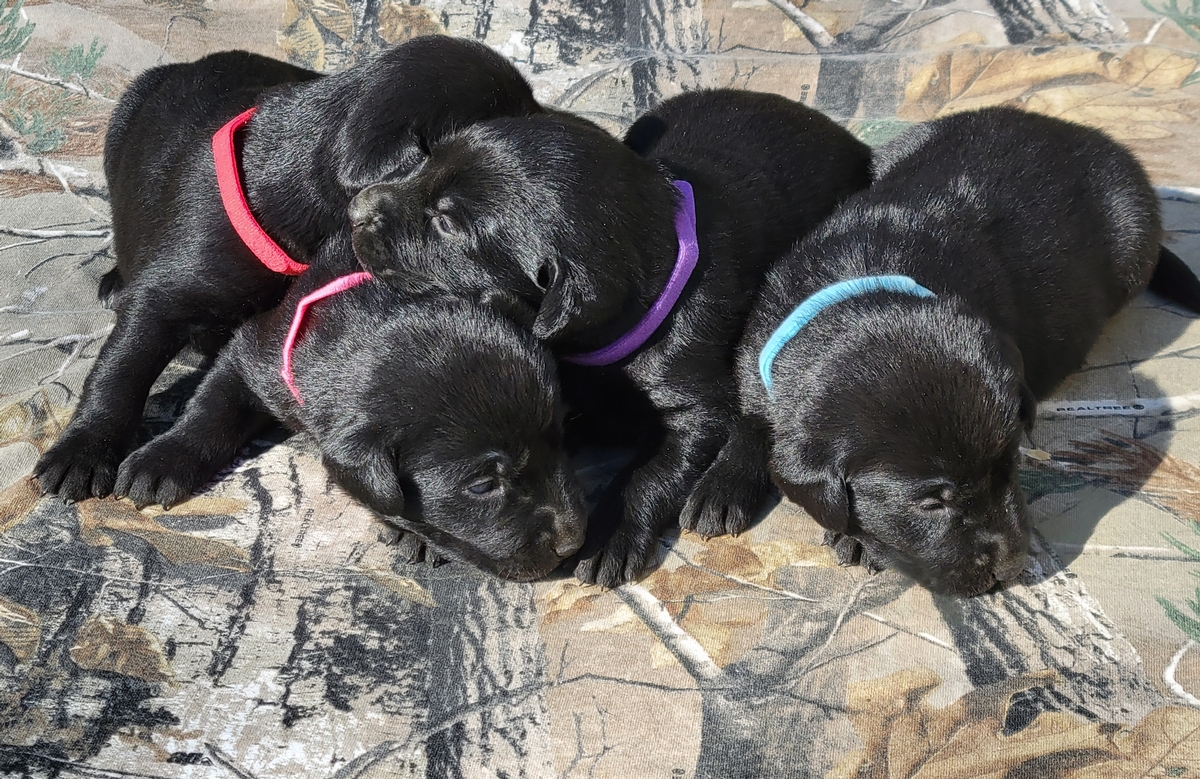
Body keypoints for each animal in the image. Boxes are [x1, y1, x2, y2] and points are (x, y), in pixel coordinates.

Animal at [109, 241, 587, 581]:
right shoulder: (257, 354)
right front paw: (165, 457)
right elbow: (212, 406)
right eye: (483, 486)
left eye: (564, 436)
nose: (574, 541)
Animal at [348, 89, 872, 586]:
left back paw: (724, 488)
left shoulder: (693, 409)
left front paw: (609, 536)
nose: (355, 209)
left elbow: (649, 471)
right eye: (427, 160)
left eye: (446, 222)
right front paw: (425, 531)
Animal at [732, 106, 1200, 596]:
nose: (1011, 570)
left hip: (1132, 240)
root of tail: (1073, 130)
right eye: (931, 504)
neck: (863, 280)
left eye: (1011, 461)